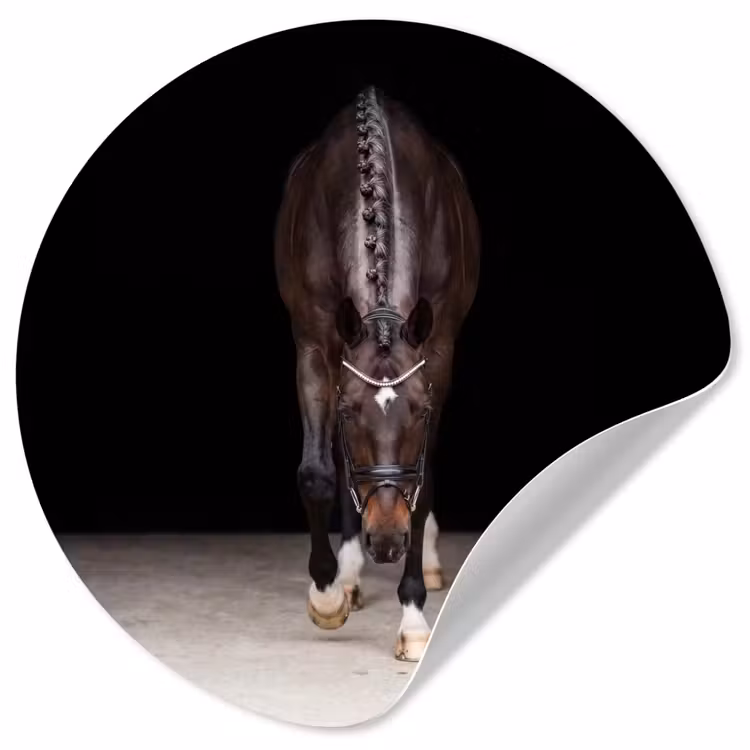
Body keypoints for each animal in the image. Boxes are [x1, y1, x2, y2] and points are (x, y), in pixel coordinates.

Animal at [274, 85, 480, 661]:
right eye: (348, 414)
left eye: (421, 412)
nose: (386, 540)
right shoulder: (314, 345)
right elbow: (319, 473)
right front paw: (326, 595)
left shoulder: (438, 351)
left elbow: (421, 485)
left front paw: (412, 619)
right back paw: (348, 576)